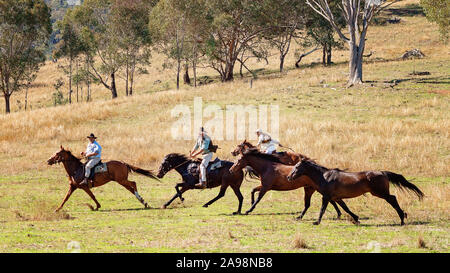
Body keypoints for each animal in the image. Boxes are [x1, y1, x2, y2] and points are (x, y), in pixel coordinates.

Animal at [288, 158, 426, 224]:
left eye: (297, 167)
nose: (289, 177)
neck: (325, 176)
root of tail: (382, 172)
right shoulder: (336, 197)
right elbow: (345, 208)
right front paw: (356, 219)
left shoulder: (326, 197)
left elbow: (322, 209)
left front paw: (316, 222)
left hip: (380, 193)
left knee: (393, 198)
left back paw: (402, 218)